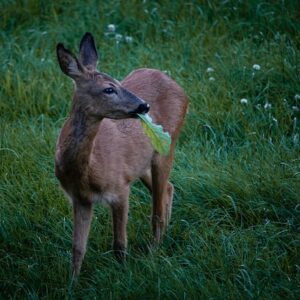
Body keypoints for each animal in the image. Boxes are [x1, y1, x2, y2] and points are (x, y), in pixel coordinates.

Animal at [54, 32, 188, 276]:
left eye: (117, 82)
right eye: (109, 89)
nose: (143, 106)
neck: (87, 170)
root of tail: (176, 84)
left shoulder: (120, 188)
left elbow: (119, 243)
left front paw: (123, 274)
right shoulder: (80, 198)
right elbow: (77, 249)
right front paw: (71, 282)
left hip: (167, 147)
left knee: (156, 211)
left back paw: (153, 254)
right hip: (142, 164)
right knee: (169, 189)